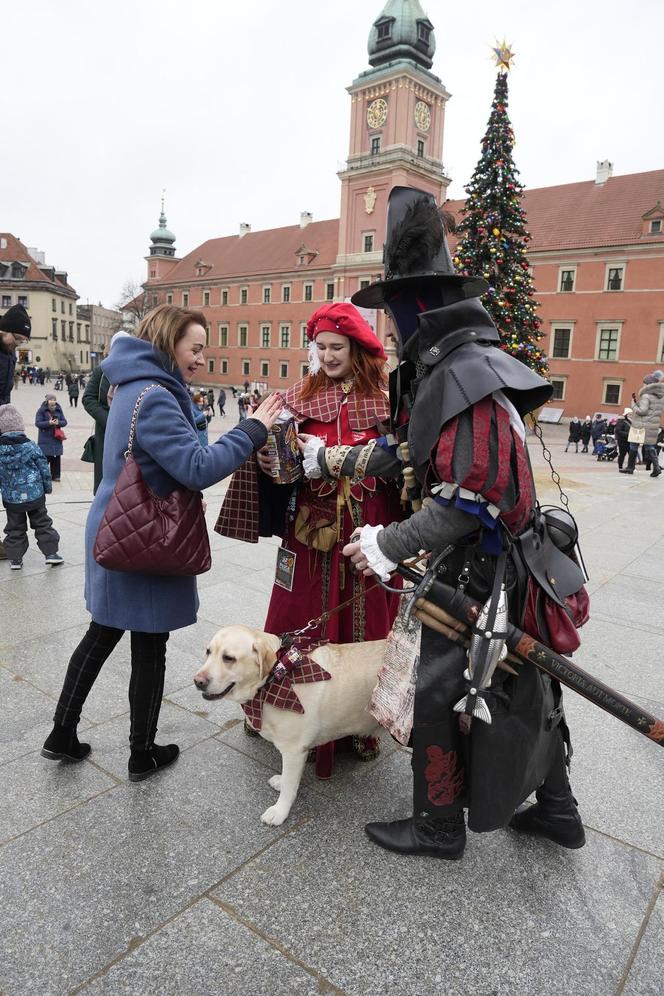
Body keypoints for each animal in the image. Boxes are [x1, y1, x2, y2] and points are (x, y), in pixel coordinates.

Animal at [193, 628, 384, 828]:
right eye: (208, 652)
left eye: (229, 658)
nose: (197, 681)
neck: (277, 675)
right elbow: (287, 780)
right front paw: (281, 781)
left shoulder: (294, 750)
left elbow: (289, 787)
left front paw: (279, 811)